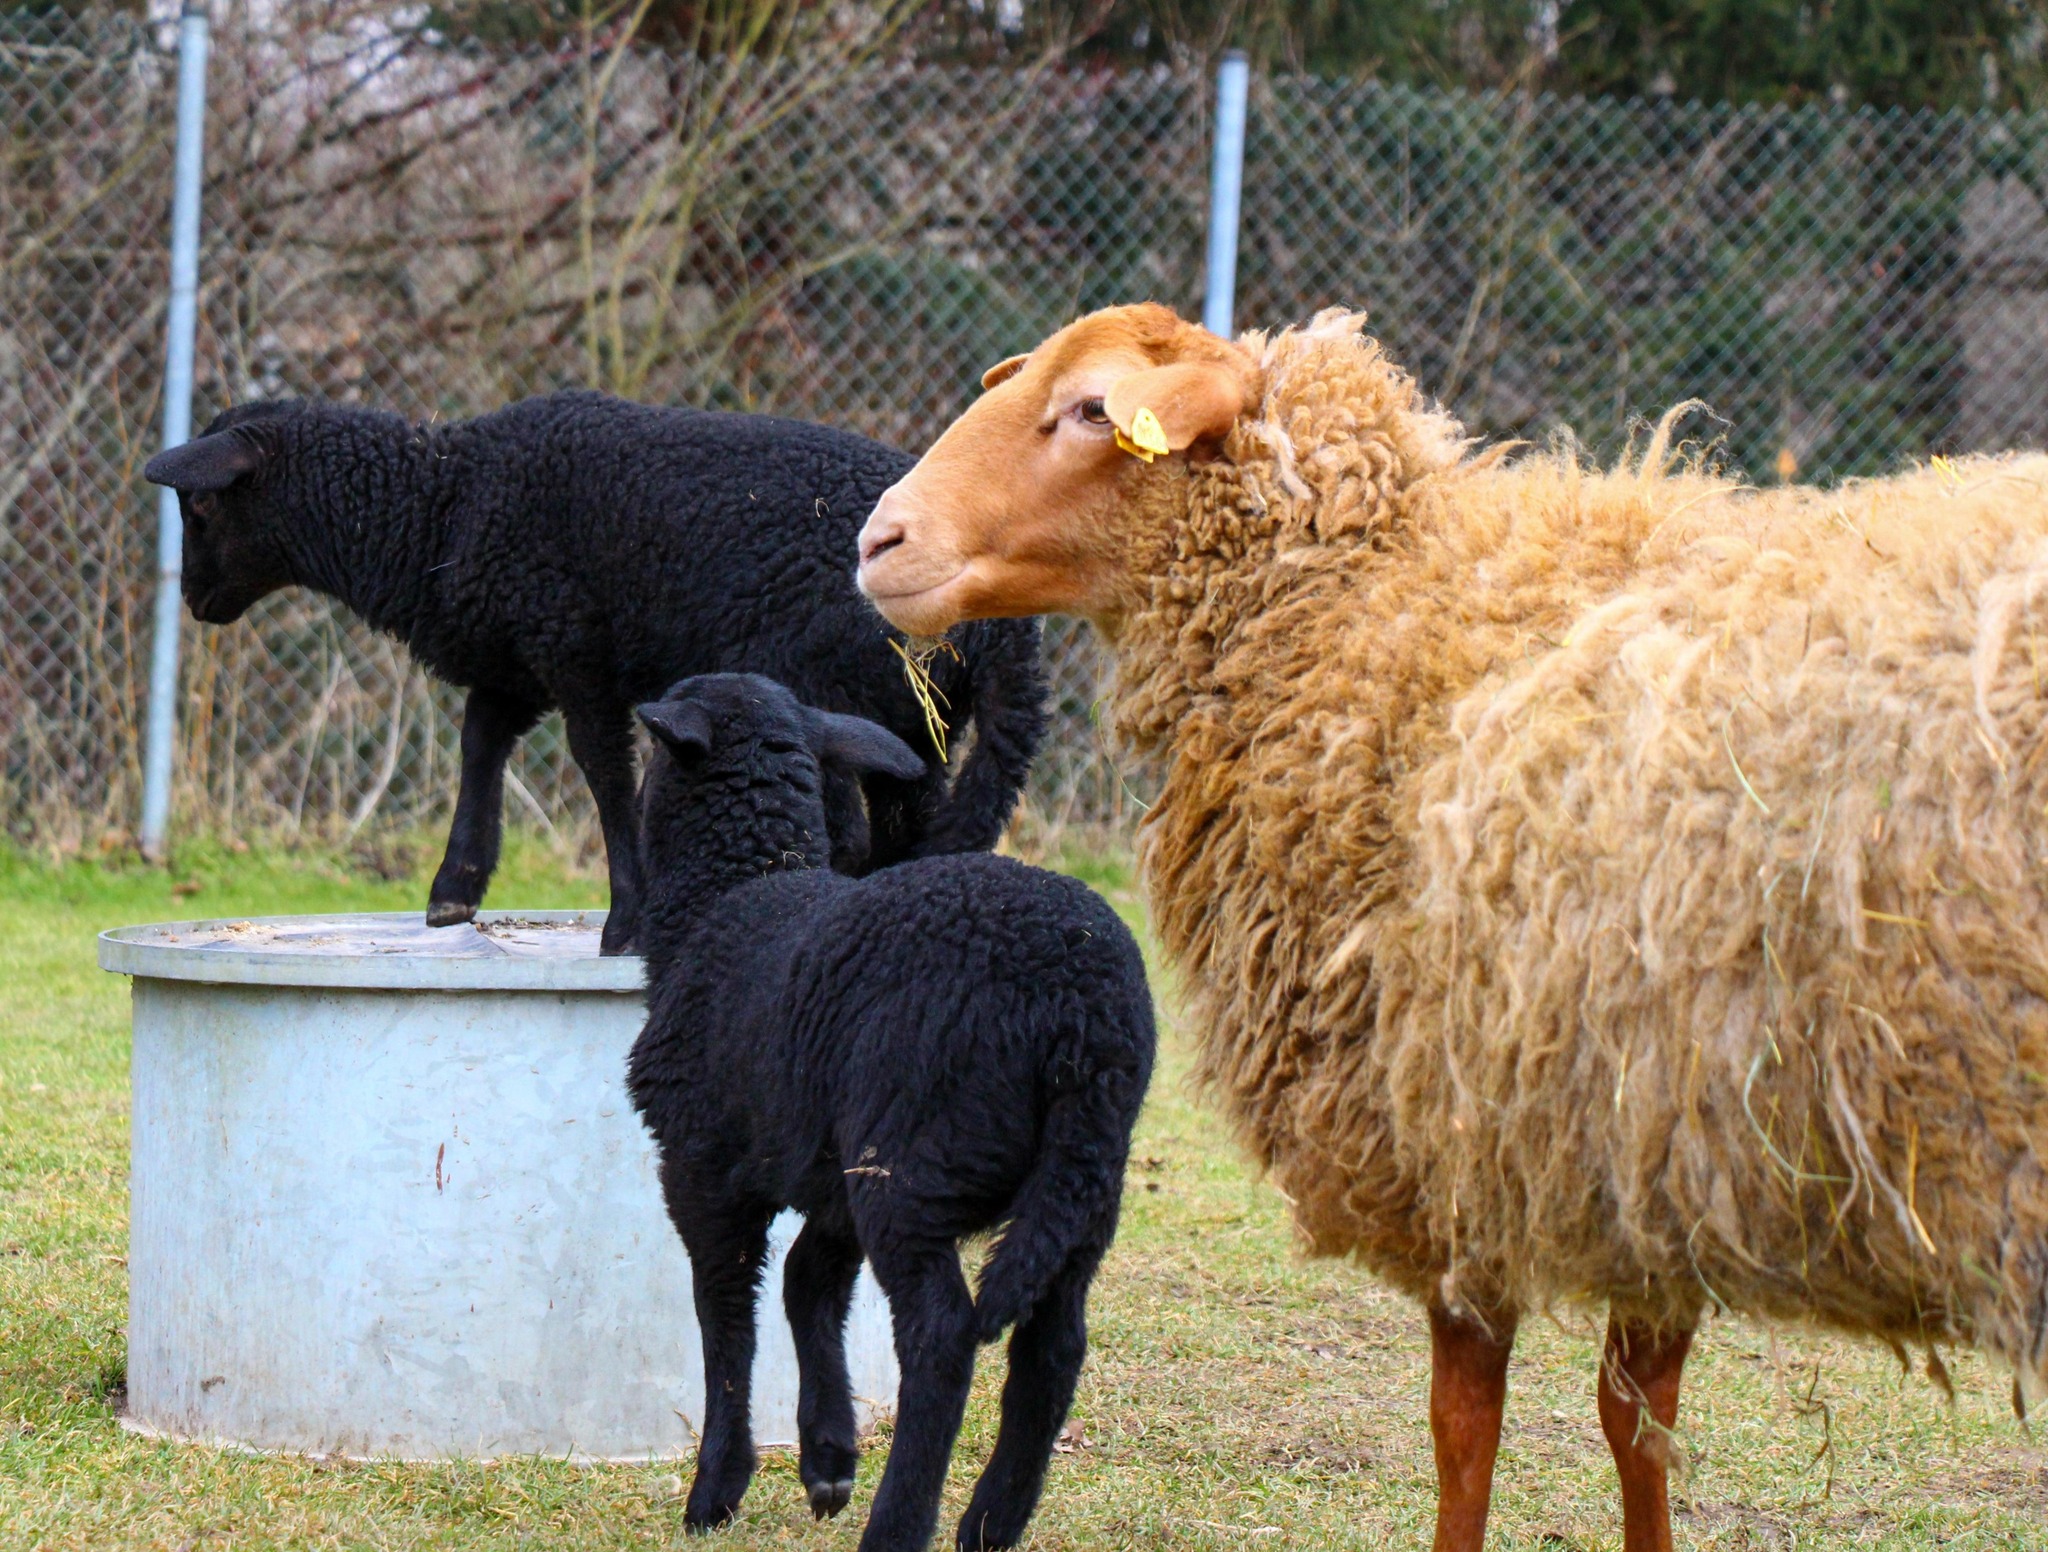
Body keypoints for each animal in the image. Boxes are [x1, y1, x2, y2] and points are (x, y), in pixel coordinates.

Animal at [142, 392, 1046, 953]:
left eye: (202, 504)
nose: (194, 601)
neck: (441, 504)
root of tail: (1011, 635)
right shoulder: (519, 658)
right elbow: (480, 746)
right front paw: (455, 889)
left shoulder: (575, 652)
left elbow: (605, 774)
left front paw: (626, 921)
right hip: (916, 718)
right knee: (909, 824)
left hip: (826, 678)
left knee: (854, 822)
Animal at [626, 672, 1154, 1552]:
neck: (733, 889)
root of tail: (1085, 1010)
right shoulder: (829, 1166)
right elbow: (808, 1284)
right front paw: (828, 1459)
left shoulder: (702, 1165)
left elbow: (725, 1315)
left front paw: (717, 1489)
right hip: (1081, 1188)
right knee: (1053, 1346)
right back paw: (989, 1522)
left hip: (913, 1164)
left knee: (941, 1336)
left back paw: (899, 1525)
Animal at [854, 301, 2048, 1552]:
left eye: (1093, 408)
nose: (880, 540)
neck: (1374, 608)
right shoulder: (1637, 1139)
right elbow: (1639, 1415)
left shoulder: (1458, 1129)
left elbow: (1465, 1422)